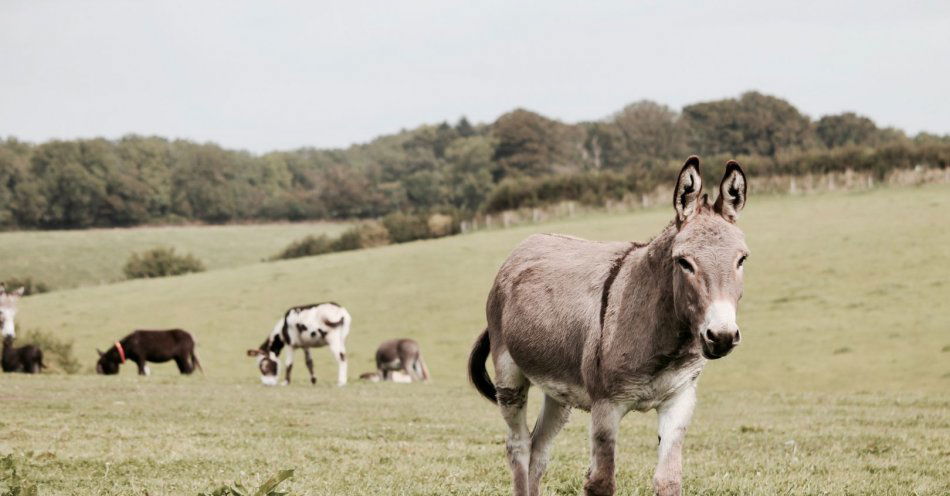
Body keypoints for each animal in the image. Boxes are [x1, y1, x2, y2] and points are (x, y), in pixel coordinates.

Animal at [468, 158, 752, 496]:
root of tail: (525, 244)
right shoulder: (606, 406)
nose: (721, 336)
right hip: (509, 378)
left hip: (558, 391)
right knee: (519, 446)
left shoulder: (679, 400)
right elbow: (601, 482)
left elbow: (669, 480)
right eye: (684, 262)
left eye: (742, 259)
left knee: (539, 449)